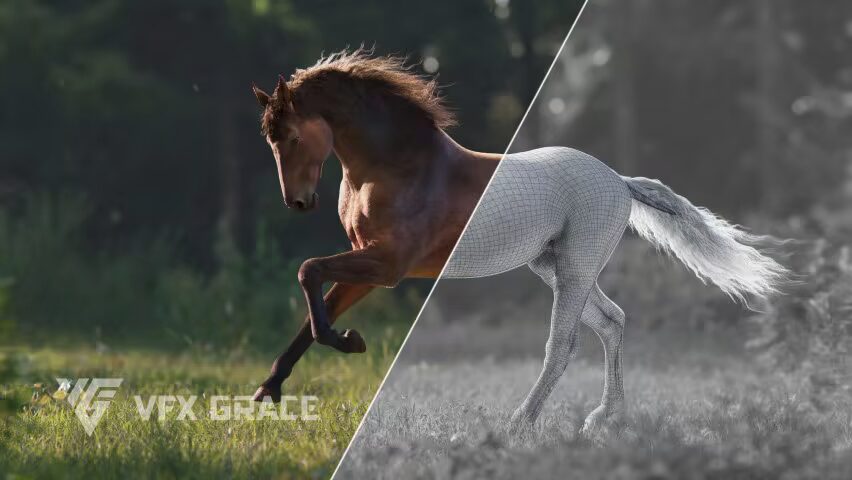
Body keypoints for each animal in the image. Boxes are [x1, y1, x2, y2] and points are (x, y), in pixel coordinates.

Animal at [249, 49, 501, 403]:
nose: (297, 201)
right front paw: (269, 386)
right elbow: (320, 305)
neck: (395, 168)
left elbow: (308, 269)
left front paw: (350, 340)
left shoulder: (387, 264)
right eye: (271, 142)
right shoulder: (365, 262)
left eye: (295, 138)